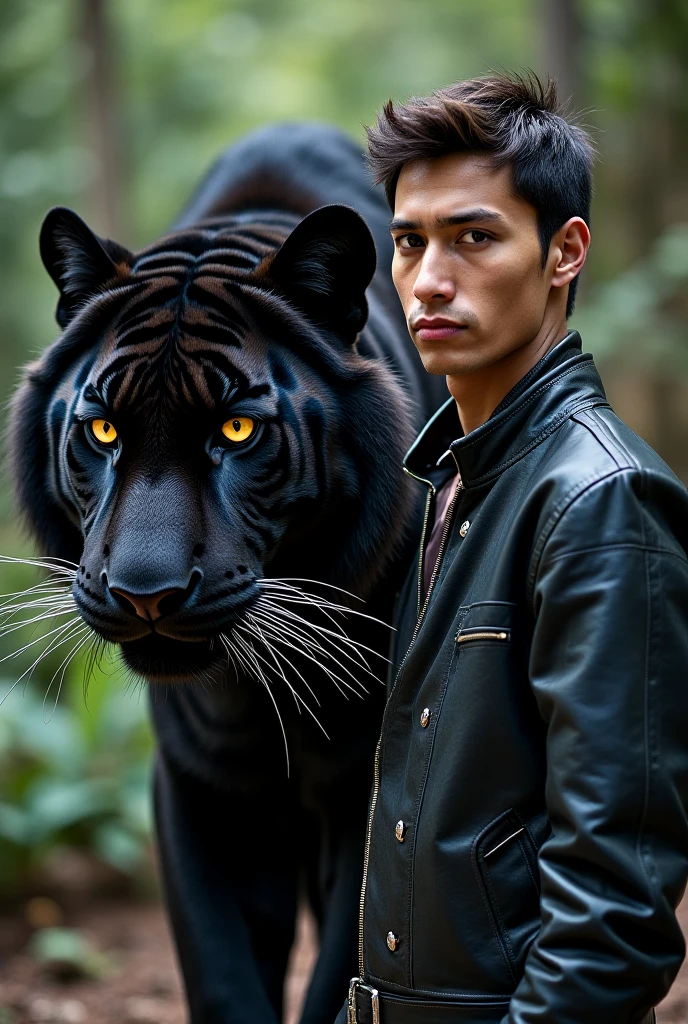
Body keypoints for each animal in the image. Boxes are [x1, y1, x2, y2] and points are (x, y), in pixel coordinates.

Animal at [9, 122, 447, 1023]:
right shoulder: (200, 788)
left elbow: (337, 975)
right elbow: (221, 973)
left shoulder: (360, 790)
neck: (256, 696)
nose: (145, 592)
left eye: (237, 430)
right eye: (103, 430)